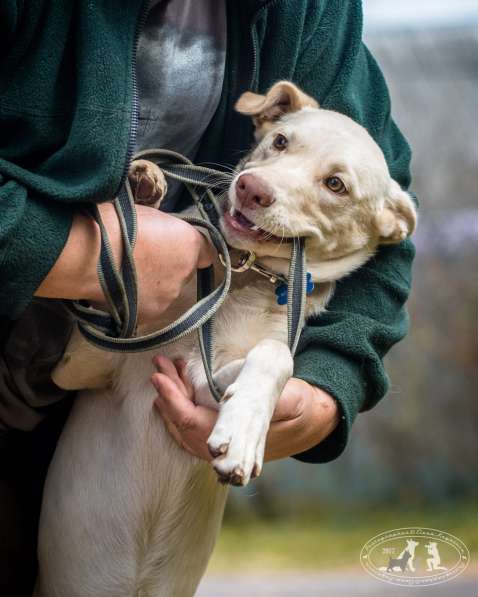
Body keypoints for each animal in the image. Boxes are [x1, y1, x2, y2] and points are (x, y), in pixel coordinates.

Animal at [35, 80, 416, 596]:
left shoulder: (199, 379)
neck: (243, 275)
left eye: (336, 184)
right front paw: (143, 188)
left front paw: (242, 434)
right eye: (280, 141)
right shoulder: (81, 361)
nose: (251, 189)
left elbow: (274, 355)